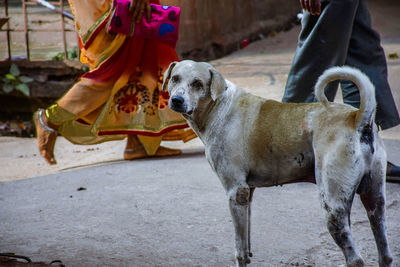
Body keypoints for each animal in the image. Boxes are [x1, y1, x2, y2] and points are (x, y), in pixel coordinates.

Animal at [163, 60, 394, 267]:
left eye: (197, 83)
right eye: (175, 78)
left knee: (356, 259)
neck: (219, 105)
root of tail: (357, 117)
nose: (176, 100)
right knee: (386, 254)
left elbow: (239, 249)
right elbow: (246, 240)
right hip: (375, 201)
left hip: (333, 207)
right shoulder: (247, 193)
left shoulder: (235, 192)